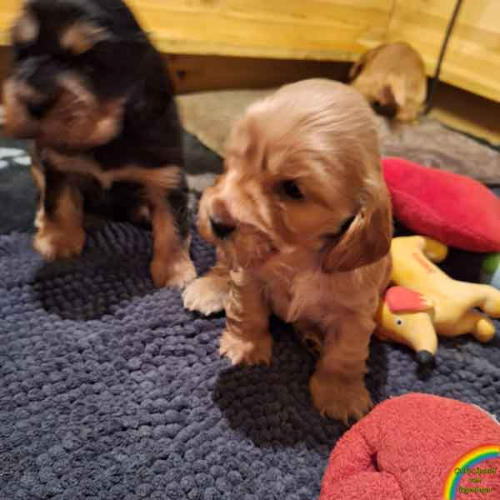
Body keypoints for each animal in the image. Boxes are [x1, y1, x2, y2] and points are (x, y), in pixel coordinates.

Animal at [3, 0, 195, 288]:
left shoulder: (166, 174)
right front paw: (58, 241)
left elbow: (172, 221)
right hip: (36, 160)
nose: (33, 101)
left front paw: (175, 271)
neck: (107, 136)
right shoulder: (57, 164)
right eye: (22, 53)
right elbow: (58, 201)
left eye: (91, 61)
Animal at [183, 79, 393, 422]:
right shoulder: (249, 277)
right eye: (232, 162)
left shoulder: (355, 312)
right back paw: (209, 288)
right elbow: (247, 312)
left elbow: (346, 352)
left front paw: (340, 393)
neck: (297, 258)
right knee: (223, 264)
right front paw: (244, 347)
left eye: (292, 189)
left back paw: (312, 336)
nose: (216, 220)